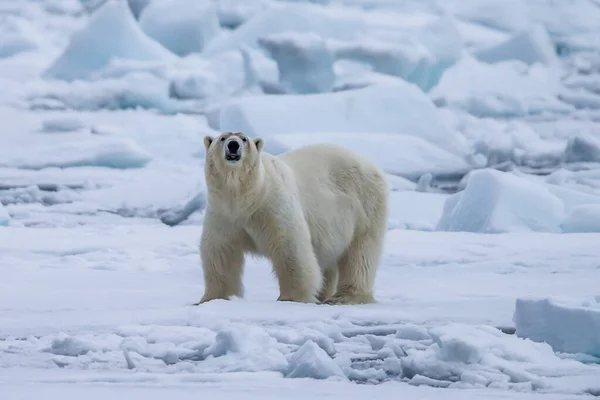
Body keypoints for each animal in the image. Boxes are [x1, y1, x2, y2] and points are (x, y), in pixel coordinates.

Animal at [197, 133, 390, 304]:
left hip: (365, 204)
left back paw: (345, 297)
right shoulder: (224, 215)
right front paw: (210, 298)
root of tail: (372, 165)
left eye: (244, 139)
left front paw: (292, 297)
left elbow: (290, 248)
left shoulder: (273, 206)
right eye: (222, 138)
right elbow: (220, 254)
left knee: (360, 254)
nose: (233, 145)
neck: (247, 197)